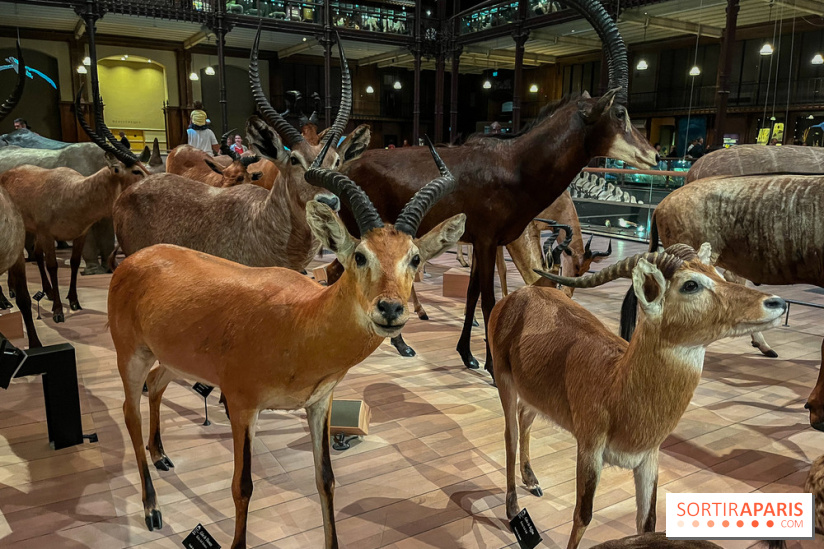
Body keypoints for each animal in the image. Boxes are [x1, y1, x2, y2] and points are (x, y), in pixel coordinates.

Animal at [0, 90, 148, 324]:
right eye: (135, 171)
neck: (72, 191)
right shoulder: (48, 234)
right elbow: (53, 266)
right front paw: (58, 311)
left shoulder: (80, 234)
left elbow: (76, 262)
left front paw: (74, 301)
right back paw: (9, 297)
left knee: (35, 255)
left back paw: (41, 292)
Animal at [108, 139, 466, 544]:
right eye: (360, 256)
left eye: (415, 258)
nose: (390, 308)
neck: (298, 322)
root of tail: (135, 259)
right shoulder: (243, 406)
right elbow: (242, 486)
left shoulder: (319, 404)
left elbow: (325, 480)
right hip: (130, 355)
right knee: (130, 411)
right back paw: (152, 508)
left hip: (171, 357)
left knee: (155, 385)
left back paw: (161, 456)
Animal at [334, 0, 656, 376]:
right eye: (619, 112)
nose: (654, 155)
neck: (514, 163)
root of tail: (345, 166)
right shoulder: (488, 242)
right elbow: (488, 299)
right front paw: (490, 364)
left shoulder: (481, 243)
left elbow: (472, 295)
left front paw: (467, 354)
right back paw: (394, 344)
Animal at [490, 243, 784, 548]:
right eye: (690, 284)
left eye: (717, 272)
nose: (776, 302)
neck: (616, 383)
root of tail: (522, 293)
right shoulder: (589, 451)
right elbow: (583, 515)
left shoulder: (648, 458)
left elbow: (648, 521)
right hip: (504, 381)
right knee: (510, 433)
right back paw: (513, 508)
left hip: (535, 395)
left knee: (525, 417)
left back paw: (532, 481)